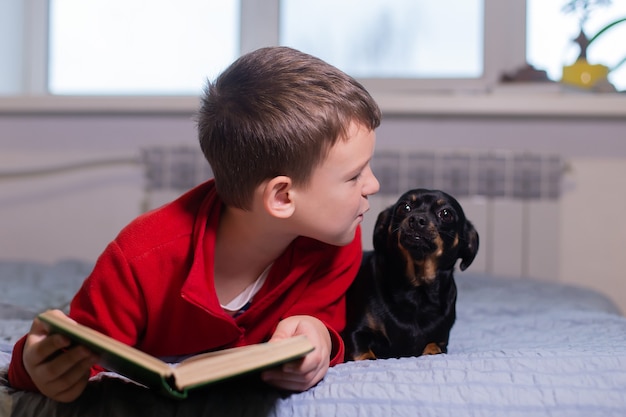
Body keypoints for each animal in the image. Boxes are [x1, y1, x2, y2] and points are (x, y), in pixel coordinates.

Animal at [344, 188, 476, 360]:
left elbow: (433, 347)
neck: (417, 291)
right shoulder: (356, 334)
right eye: (404, 207)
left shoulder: (440, 340)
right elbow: (366, 356)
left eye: (446, 214)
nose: (417, 219)